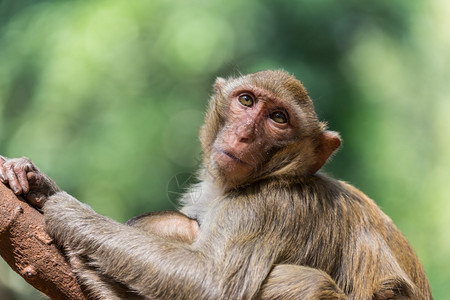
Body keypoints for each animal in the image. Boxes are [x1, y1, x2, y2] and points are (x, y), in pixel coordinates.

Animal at [0, 69, 432, 298]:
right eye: (246, 101)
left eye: (278, 118)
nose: (243, 135)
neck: (277, 176)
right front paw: (40, 186)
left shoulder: (267, 207)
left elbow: (210, 283)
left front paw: (68, 210)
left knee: (308, 282)